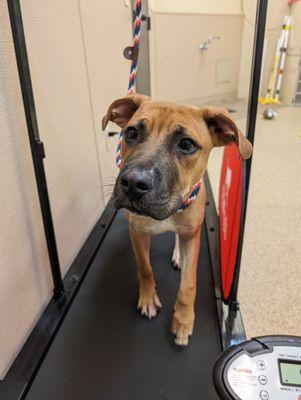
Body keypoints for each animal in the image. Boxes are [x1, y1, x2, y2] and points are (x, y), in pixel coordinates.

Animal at [102, 95, 252, 346]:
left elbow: (188, 284)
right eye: (131, 132)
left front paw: (183, 320)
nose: (133, 183)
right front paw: (148, 298)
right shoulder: (137, 232)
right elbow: (145, 268)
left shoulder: (192, 235)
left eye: (187, 144)